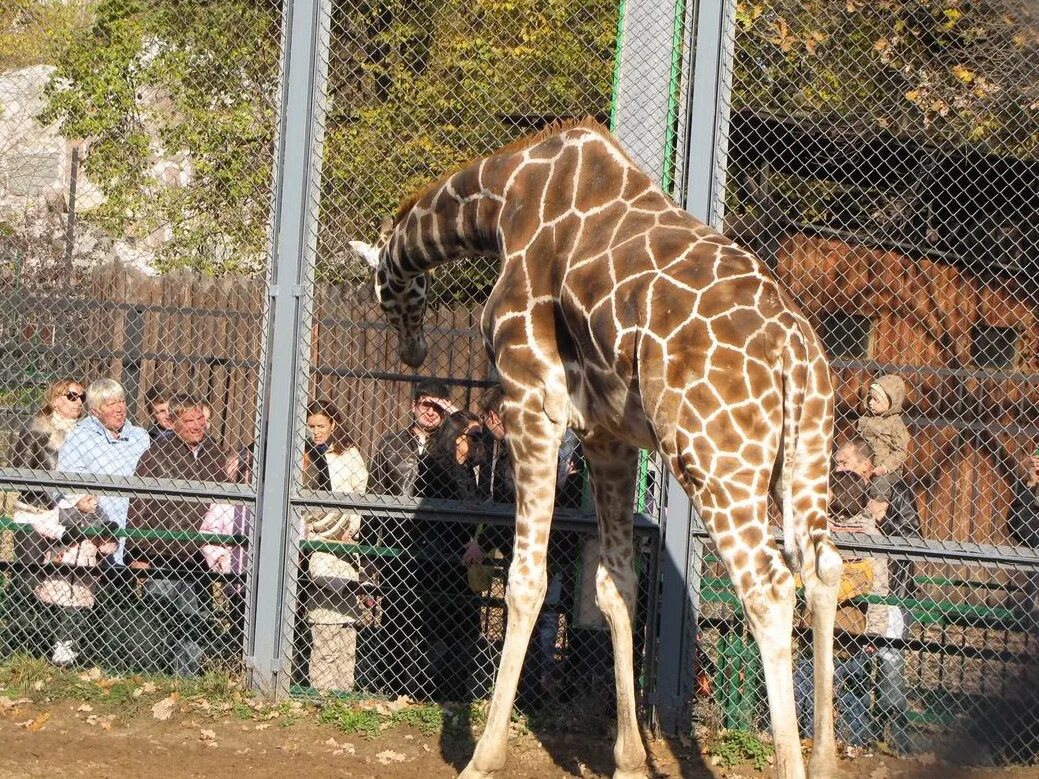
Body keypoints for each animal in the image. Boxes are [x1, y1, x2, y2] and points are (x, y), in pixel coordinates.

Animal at [351, 117, 843, 779]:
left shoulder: (531, 399)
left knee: (768, 588)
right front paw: (629, 758)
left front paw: (482, 756)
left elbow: (526, 581)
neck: (500, 202)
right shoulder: (608, 435)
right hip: (806, 450)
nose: (412, 352)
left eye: (387, 287)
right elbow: (616, 585)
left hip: (716, 458)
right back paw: (825, 759)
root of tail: (795, 350)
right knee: (821, 569)